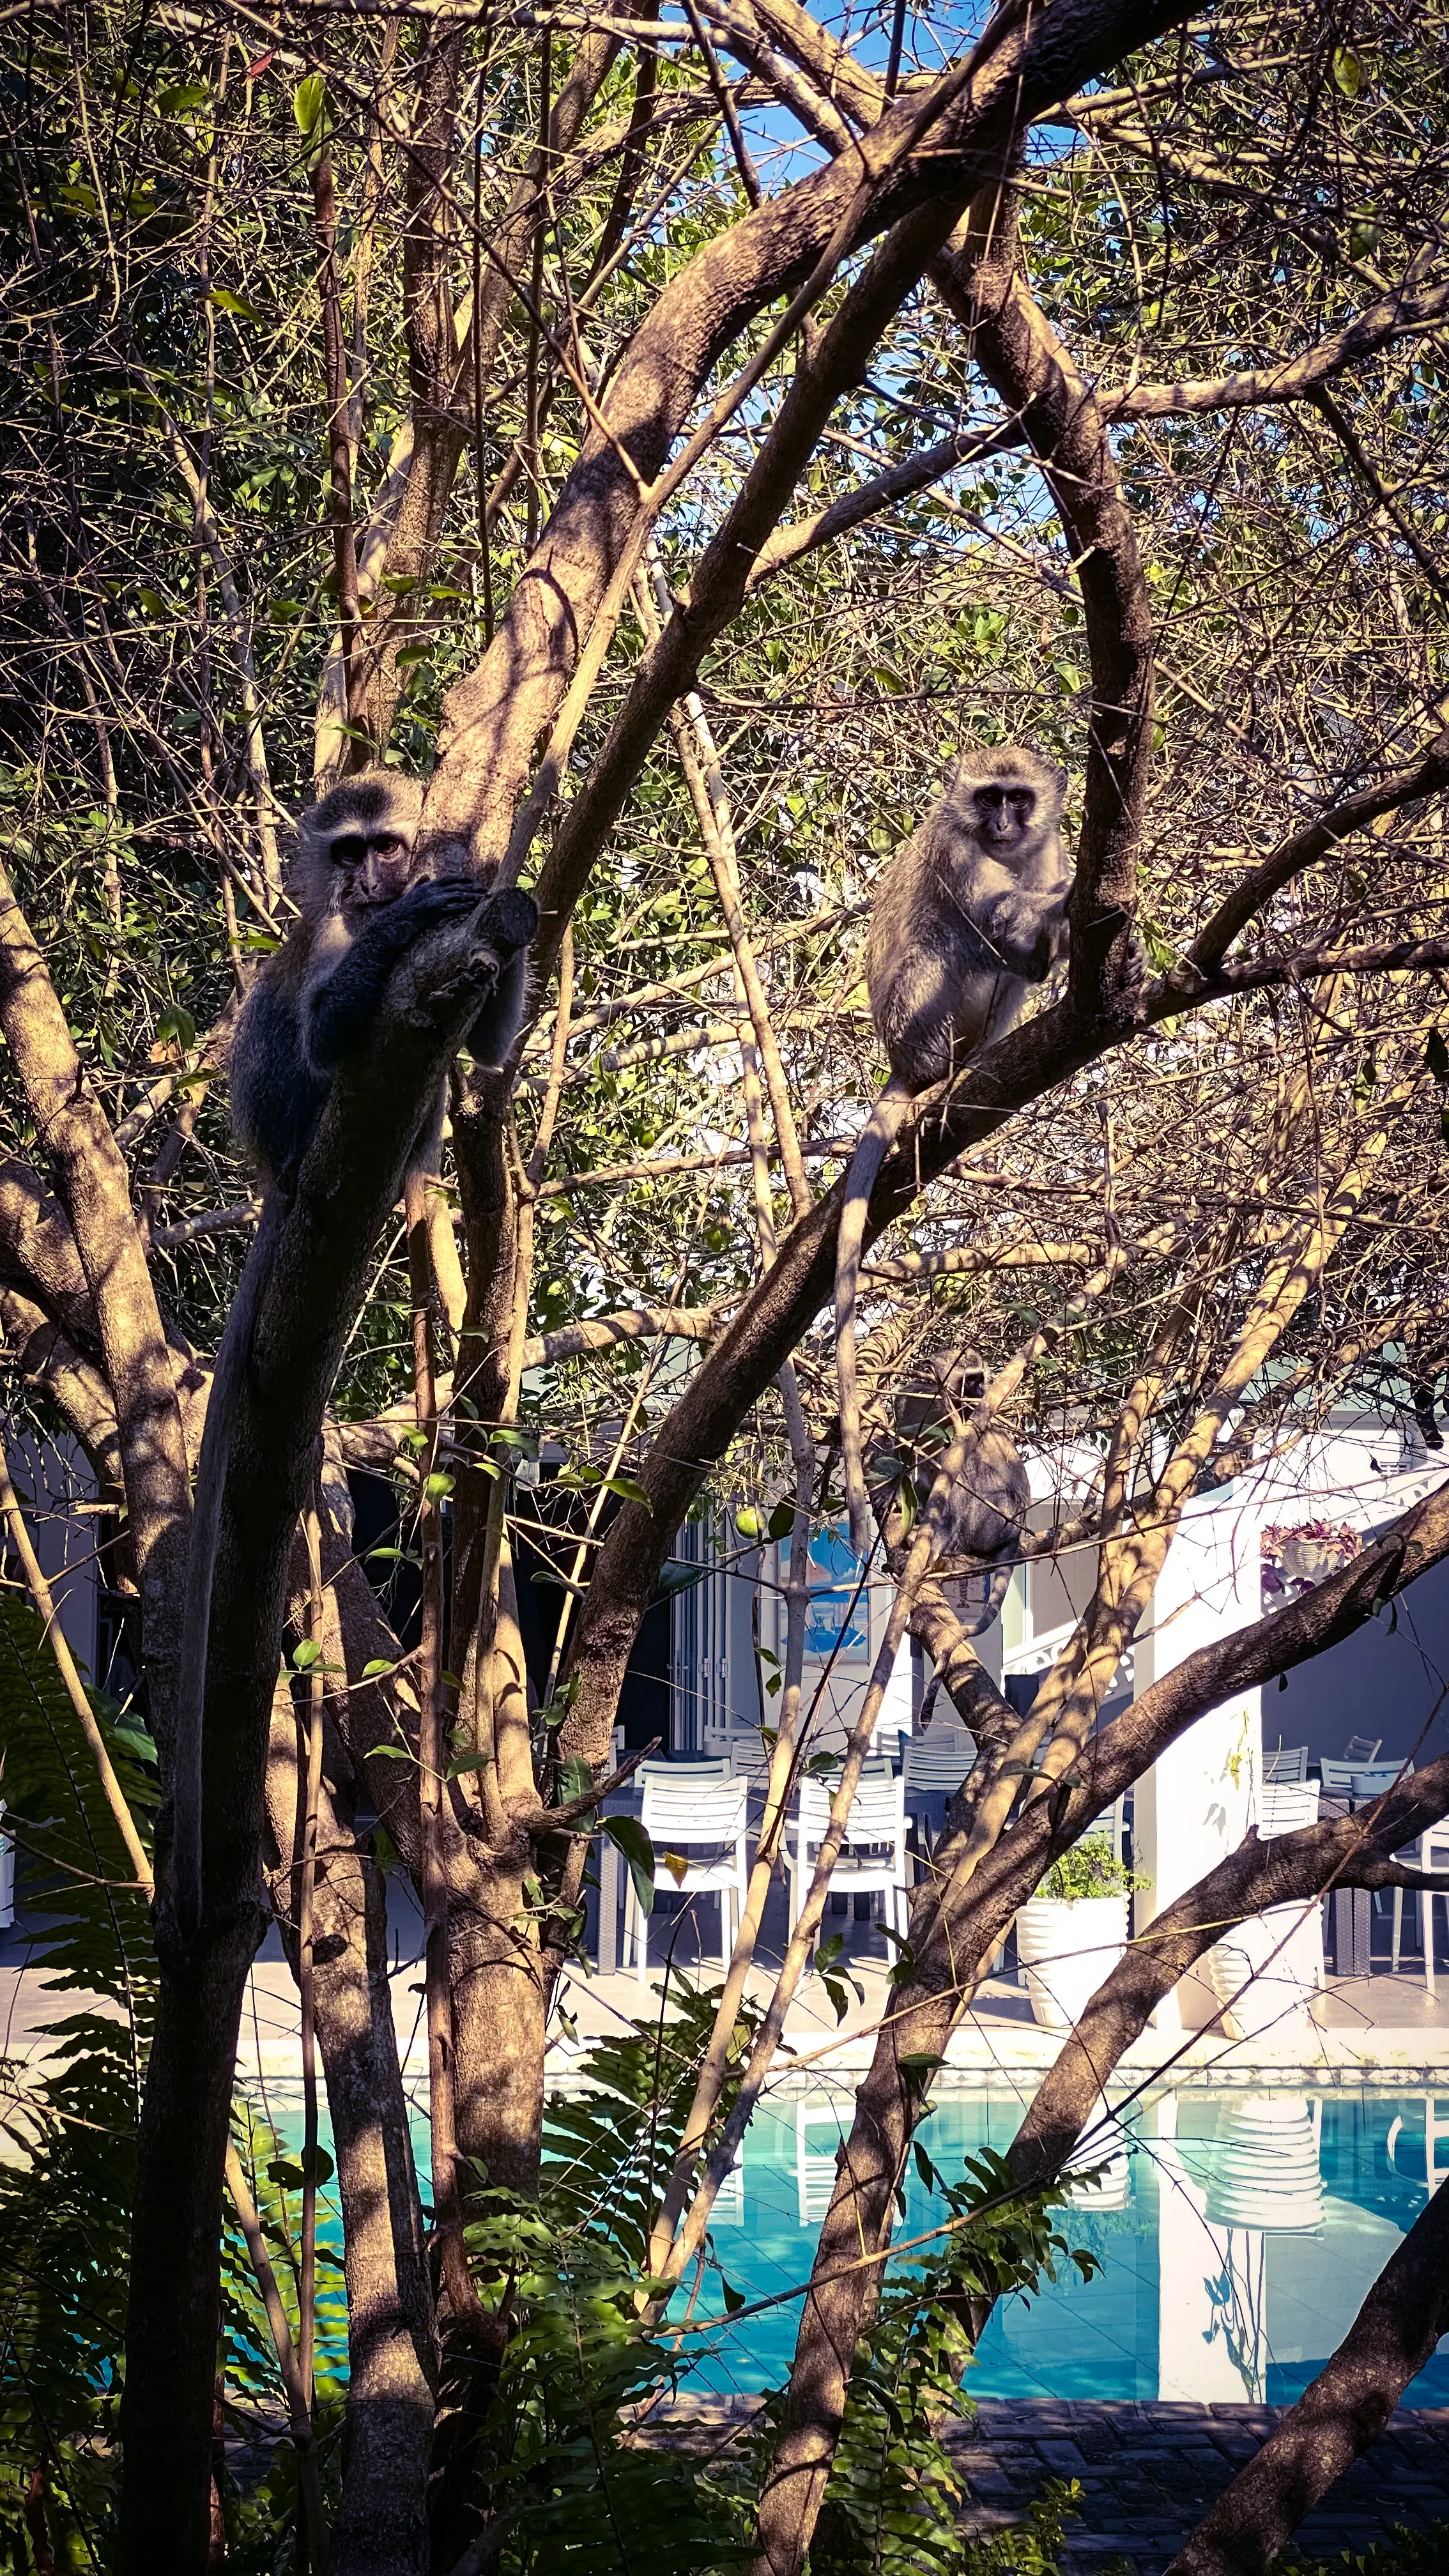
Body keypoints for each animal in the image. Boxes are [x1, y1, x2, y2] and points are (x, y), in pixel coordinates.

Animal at [171, 771, 538, 1936]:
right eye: (348, 851)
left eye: (388, 841)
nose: (376, 879)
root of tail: (274, 1169)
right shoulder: (331, 934)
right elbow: (330, 1023)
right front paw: (411, 923)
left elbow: (484, 1050)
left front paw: (475, 893)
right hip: (294, 1117)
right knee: (311, 1047)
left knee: (426, 1087)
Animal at [835, 745, 1070, 1555]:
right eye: (987, 798)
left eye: (1018, 799)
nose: (1000, 824)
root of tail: (904, 1061)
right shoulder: (957, 851)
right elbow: (993, 916)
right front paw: (1067, 905)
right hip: (917, 1017)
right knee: (963, 939)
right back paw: (942, 1082)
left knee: (1012, 971)